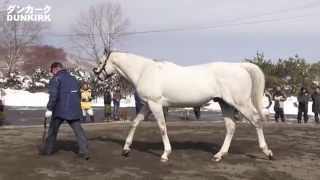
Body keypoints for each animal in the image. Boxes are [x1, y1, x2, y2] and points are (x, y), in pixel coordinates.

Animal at [92, 50, 272, 162]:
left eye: (101, 61)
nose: (97, 74)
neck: (145, 71)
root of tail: (240, 66)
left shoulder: (155, 104)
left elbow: (162, 127)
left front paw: (165, 154)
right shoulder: (148, 104)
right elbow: (135, 123)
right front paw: (126, 149)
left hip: (240, 103)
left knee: (256, 121)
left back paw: (267, 152)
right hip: (225, 104)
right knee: (231, 127)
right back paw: (219, 155)